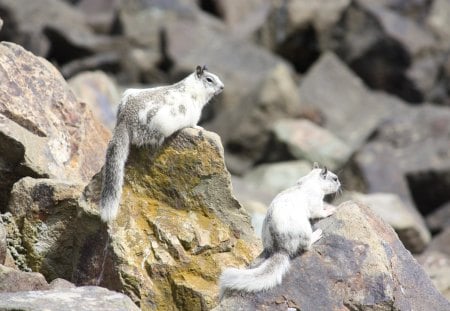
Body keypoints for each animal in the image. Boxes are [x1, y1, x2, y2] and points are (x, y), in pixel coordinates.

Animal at [100, 66, 223, 223]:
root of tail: (125, 119)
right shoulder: (194, 115)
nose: (222, 87)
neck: (193, 88)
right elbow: (194, 124)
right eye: (209, 79)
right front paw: (200, 128)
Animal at [220, 165, 340, 296]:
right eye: (335, 179)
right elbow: (319, 212)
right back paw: (317, 234)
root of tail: (280, 248)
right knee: (306, 246)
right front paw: (330, 210)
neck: (312, 180)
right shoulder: (316, 202)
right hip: (305, 231)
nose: (340, 184)